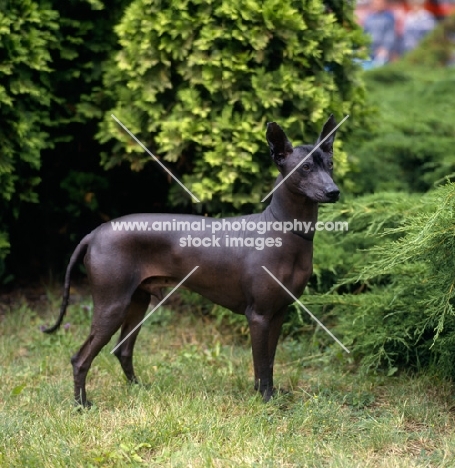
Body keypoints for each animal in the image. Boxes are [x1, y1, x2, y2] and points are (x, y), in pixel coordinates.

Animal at [44, 116, 340, 406]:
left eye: (331, 165)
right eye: (305, 168)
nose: (334, 191)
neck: (284, 229)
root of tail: (94, 233)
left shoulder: (277, 313)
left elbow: (269, 362)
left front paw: (270, 394)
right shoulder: (259, 315)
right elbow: (260, 363)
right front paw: (265, 401)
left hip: (137, 302)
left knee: (122, 349)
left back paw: (139, 389)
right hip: (112, 306)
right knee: (81, 358)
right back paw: (82, 404)